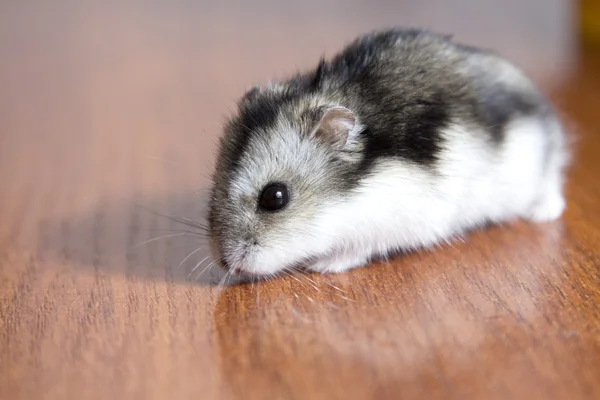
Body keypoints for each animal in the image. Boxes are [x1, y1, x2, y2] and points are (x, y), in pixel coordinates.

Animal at [206, 28, 568, 276]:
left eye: (275, 197)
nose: (226, 265)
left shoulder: (397, 221)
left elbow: (357, 247)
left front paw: (321, 266)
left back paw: (543, 212)